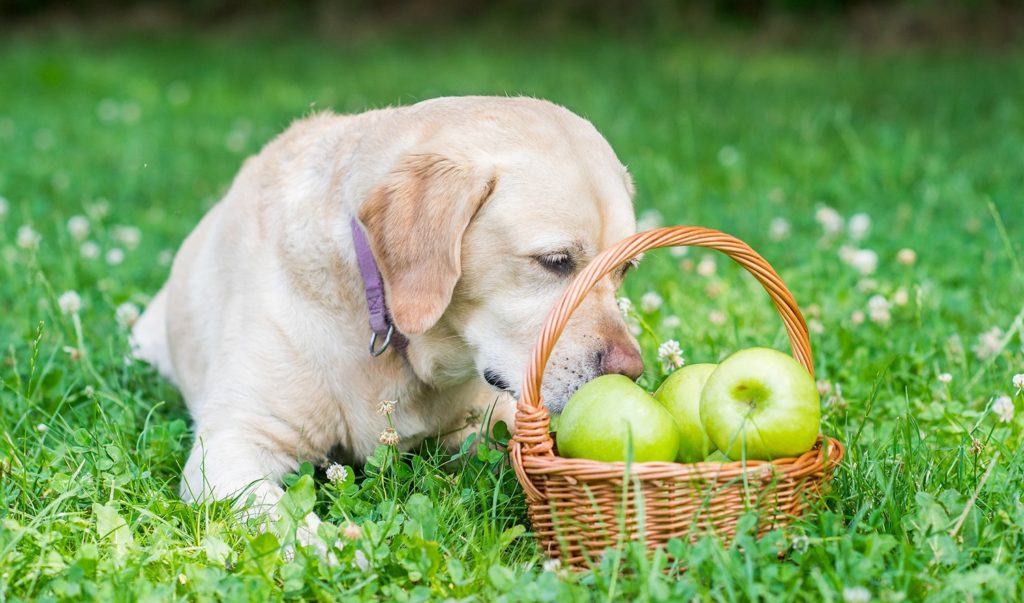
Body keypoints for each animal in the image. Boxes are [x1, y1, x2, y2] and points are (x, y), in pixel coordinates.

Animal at [130, 95, 638, 518]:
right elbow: (280, 516)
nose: (631, 371)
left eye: (625, 269)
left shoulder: (491, 419)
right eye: (555, 261)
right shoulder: (233, 442)